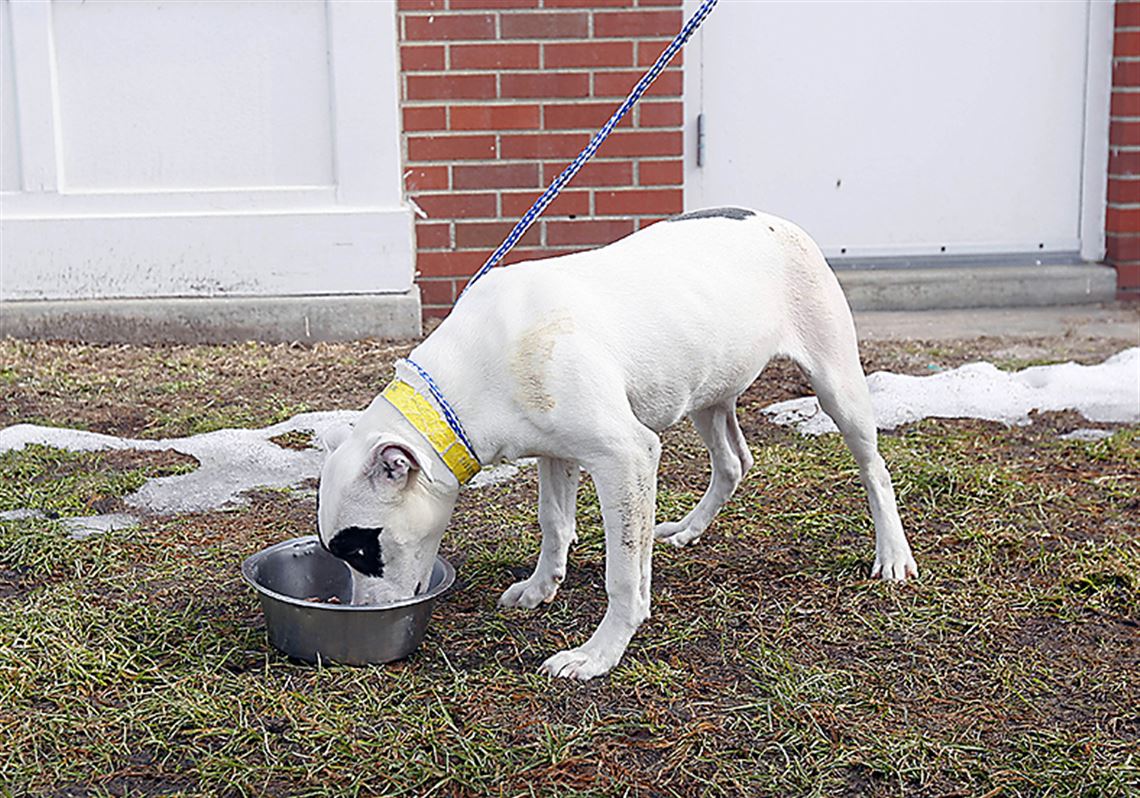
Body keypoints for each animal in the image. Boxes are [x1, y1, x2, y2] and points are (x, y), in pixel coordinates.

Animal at [317, 206, 917, 680]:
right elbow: (554, 524)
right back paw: (688, 529)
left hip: (838, 386)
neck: (463, 382)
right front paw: (541, 588)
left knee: (874, 469)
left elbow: (623, 576)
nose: (357, 611)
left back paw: (892, 554)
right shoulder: (557, 453)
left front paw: (599, 652)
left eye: (361, 549)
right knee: (733, 462)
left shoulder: (626, 457)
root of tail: (775, 219)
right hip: (705, 392)